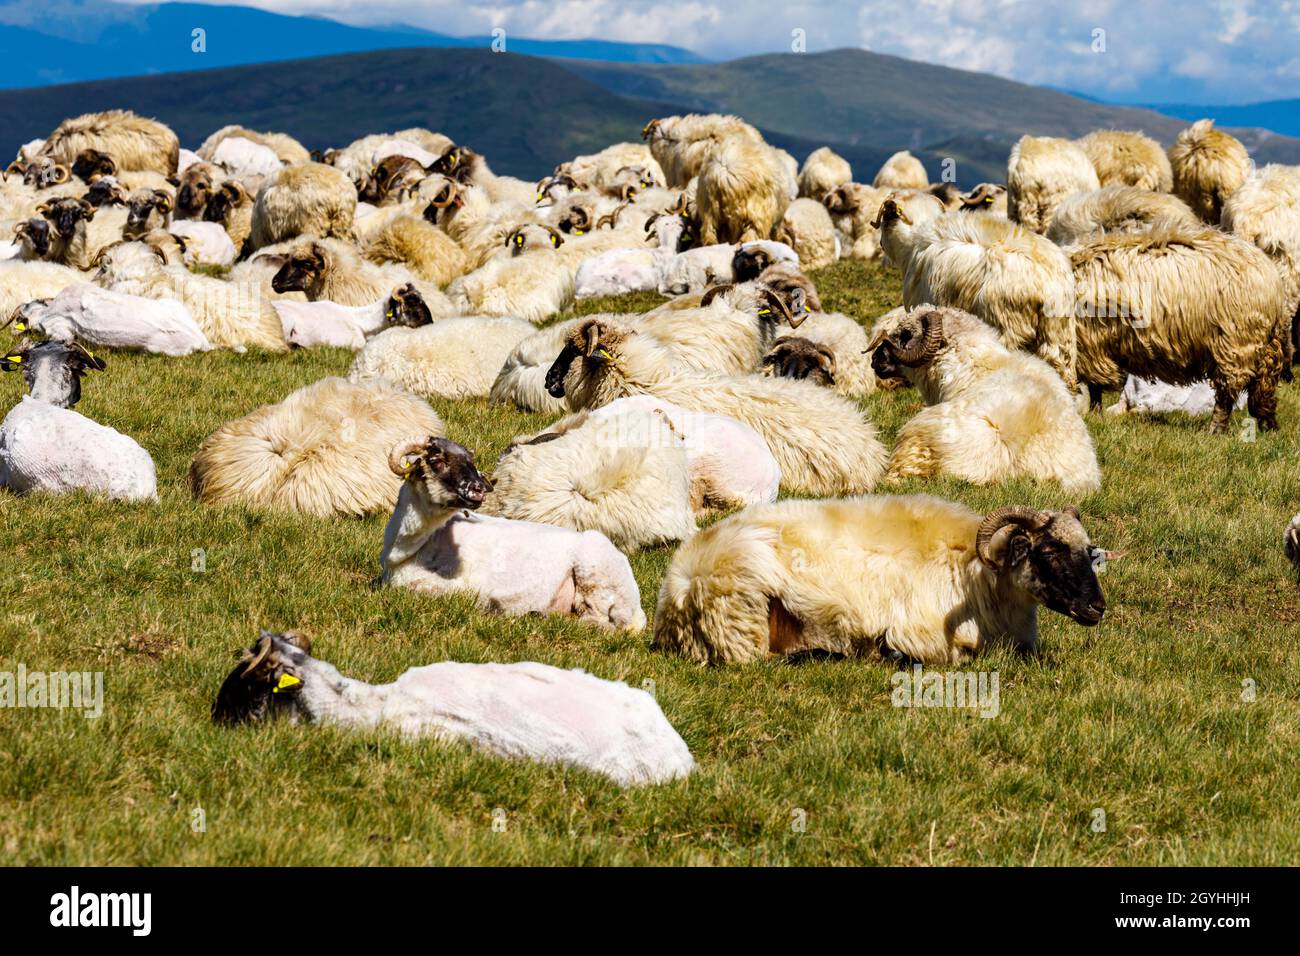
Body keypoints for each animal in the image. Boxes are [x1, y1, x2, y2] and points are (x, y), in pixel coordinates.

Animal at [381, 436, 646, 630]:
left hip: (597, 577)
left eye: (471, 463)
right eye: (437, 461)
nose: (478, 489)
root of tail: (637, 609)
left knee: (601, 622)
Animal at [1072, 224, 1289, 431]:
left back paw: (1216, 429)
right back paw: (1269, 425)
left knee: (1228, 393)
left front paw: (1094, 416)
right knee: (1263, 389)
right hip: (1263, 347)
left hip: (1235, 345)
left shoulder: (1090, 349)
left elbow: (1094, 387)